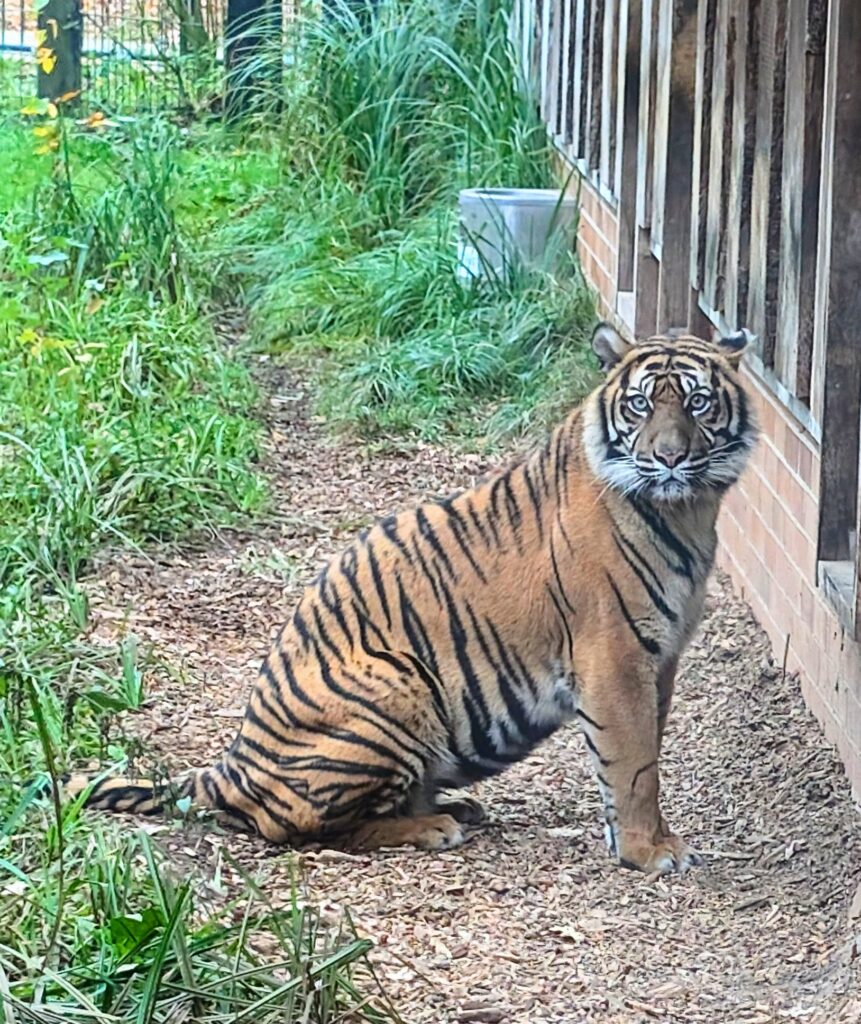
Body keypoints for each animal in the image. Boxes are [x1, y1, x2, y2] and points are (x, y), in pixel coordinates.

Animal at [65, 322, 758, 874]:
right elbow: (635, 760)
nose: (667, 460)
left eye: (698, 403)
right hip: (397, 683)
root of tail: (231, 764)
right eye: (640, 405)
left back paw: (456, 806)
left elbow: (641, 752)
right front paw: (649, 850)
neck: (689, 511)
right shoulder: (615, 654)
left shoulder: (661, 657)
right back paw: (432, 825)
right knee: (294, 828)